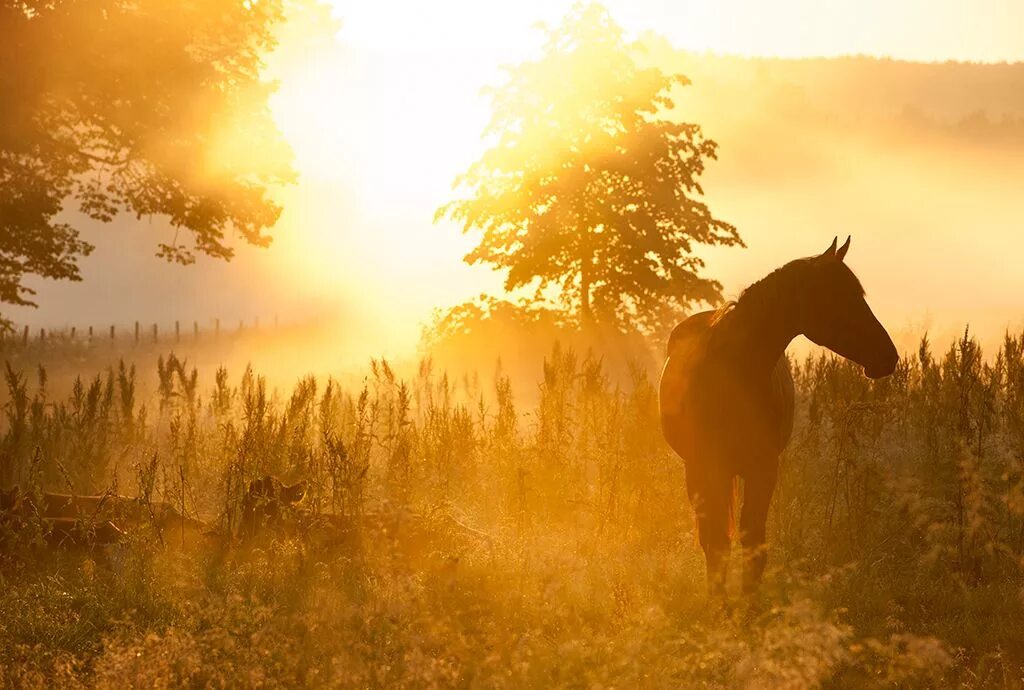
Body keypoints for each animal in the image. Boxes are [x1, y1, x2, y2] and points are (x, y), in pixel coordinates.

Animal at [663, 235, 897, 589]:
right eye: (841, 296)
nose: (889, 356)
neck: (733, 375)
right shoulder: (704, 467)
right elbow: (716, 545)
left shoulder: (764, 469)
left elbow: (753, 544)